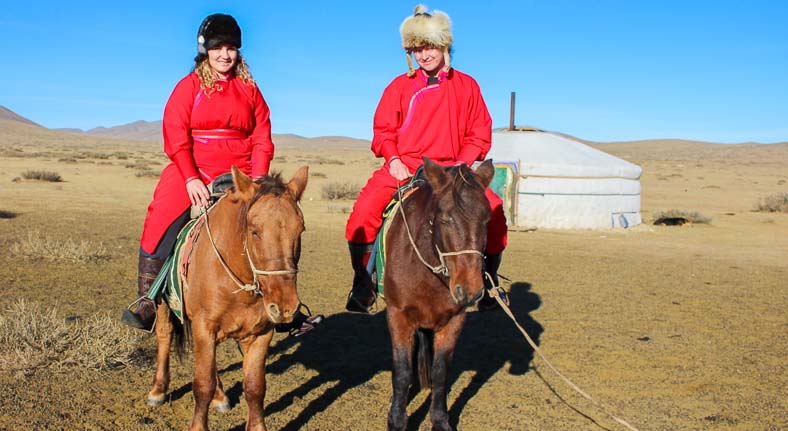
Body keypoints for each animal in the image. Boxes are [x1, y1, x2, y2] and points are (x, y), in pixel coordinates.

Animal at [148, 166, 308, 431]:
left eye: (300, 230)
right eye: (254, 230)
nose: (285, 307)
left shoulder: (261, 334)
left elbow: (255, 387)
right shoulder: (204, 327)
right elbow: (202, 385)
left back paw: (220, 396)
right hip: (164, 306)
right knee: (164, 334)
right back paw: (158, 390)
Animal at [382, 159, 492, 431]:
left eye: (487, 220)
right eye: (444, 217)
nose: (470, 290)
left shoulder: (454, 320)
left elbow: (441, 372)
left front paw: (440, 420)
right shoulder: (398, 316)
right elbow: (401, 371)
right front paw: (397, 420)